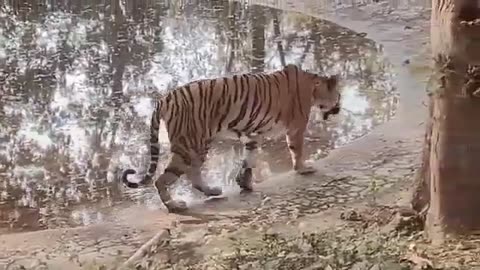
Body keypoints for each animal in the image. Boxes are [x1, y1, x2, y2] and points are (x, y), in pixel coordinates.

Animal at [123, 64, 342, 214]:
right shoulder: (296, 127)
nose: (339, 108)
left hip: (197, 145)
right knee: (162, 179)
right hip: (189, 145)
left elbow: (249, 159)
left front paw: (244, 183)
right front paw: (304, 169)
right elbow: (297, 150)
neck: (313, 87)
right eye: (339, 95)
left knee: (193, 174)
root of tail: (164, 98)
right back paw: (175, 205)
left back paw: (212, 191)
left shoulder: (252, 134)